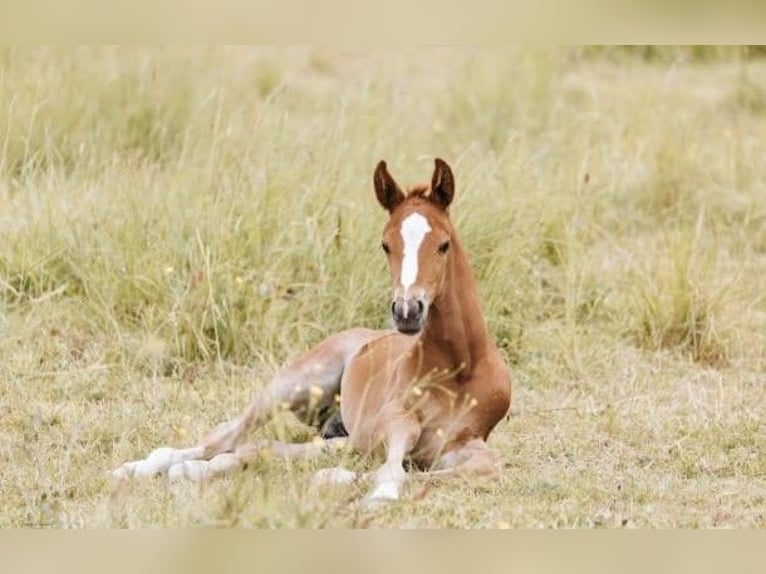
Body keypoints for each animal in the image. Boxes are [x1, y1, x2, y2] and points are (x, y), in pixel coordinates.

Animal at [114, 159, 510, 504]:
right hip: (294, 383)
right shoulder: (392, 421)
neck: (459, 369)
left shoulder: (463, 442)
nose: (407, 311)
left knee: (257, 447)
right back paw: (141, 468)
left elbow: (483, 468)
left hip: (336, 430)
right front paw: (373, 494)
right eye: (385, 244)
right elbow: (392, 468)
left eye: (443, 245)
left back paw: (195, 469)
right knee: (225, 436)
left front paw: (341, 480)